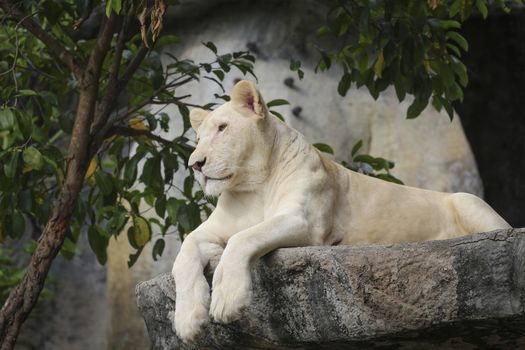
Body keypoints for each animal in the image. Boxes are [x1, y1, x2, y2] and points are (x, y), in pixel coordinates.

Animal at [170, 80, 510, 342]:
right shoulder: (211, 229)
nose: (195, 164)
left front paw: (227, 300)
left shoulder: (306, 222)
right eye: (198, 138)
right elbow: (184, 254)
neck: (253, 186)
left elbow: (243, 238)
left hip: (467, 199)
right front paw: (188, 322)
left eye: (222, 128)